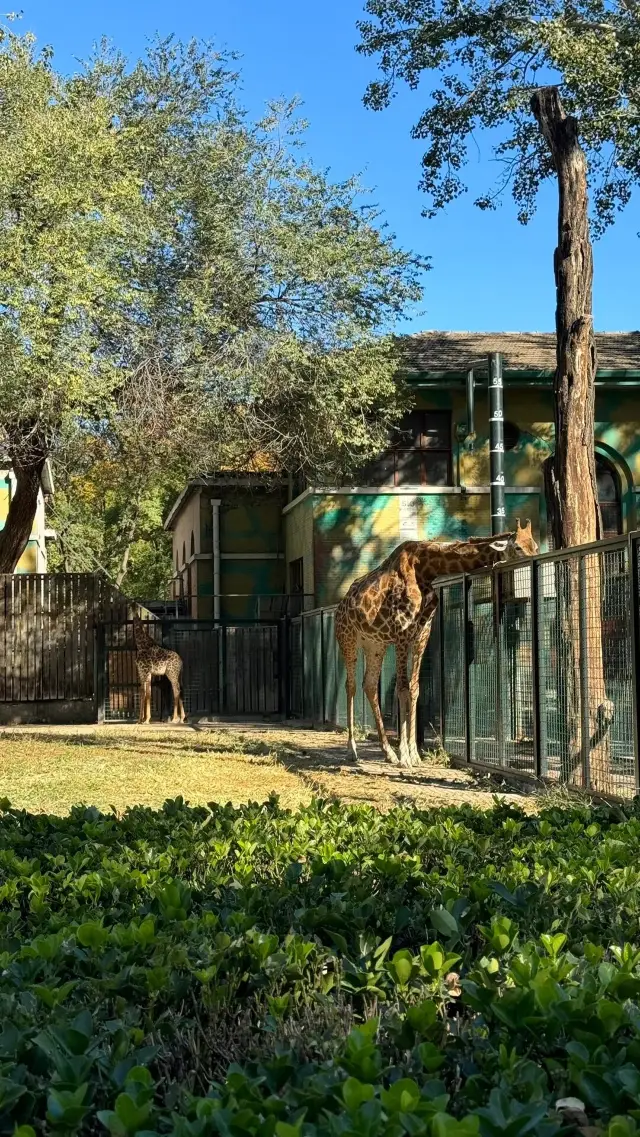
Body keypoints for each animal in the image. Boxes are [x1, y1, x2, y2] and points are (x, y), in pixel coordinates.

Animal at [336, 520, 541, 768]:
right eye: (518, 547)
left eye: (535, 546)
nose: (534, 562)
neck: (427, 569)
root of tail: (341, 604)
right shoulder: (402, 632)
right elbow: (402, 689)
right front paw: (405, 757)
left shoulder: (421, 633)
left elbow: (414, 688)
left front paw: (414, 754)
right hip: (348, 639)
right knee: (351, 685)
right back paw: (352, 750)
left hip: (375, 645)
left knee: (369, 685)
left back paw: (388, 753)